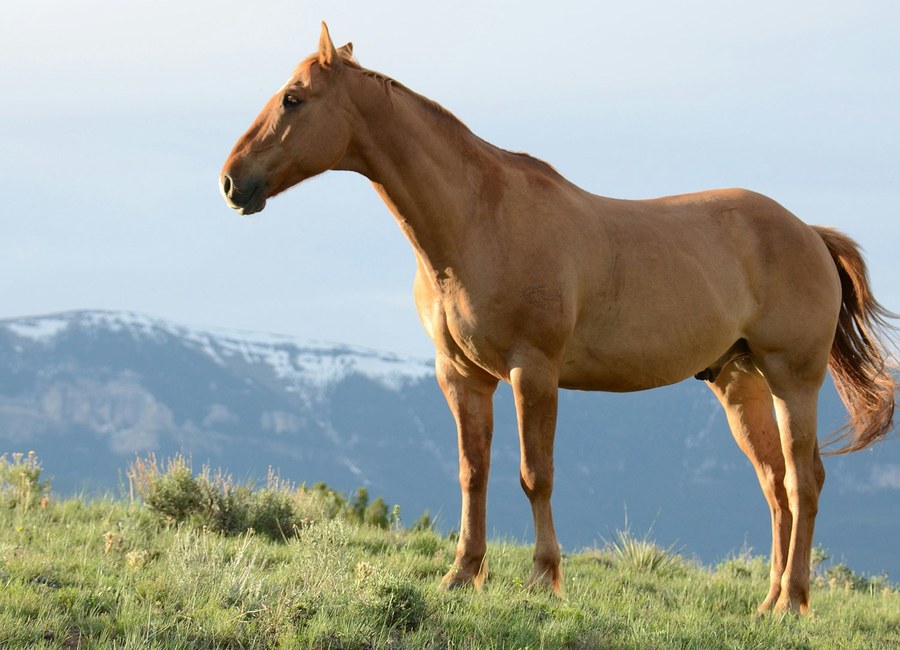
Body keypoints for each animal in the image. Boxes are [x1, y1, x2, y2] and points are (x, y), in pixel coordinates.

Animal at [220, 23, 897, 615]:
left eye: (293, 98)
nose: (231, 181)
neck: (478, 219)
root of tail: (807, 231)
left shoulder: (533, 371)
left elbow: (534, 475)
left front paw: (543, 579)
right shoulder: (461, 375)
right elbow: (472, 472)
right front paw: (461, 574)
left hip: (792, 379)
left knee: (805, 481)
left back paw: (794, 603)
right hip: (740, 384)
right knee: (776, 487)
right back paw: (767, 602)